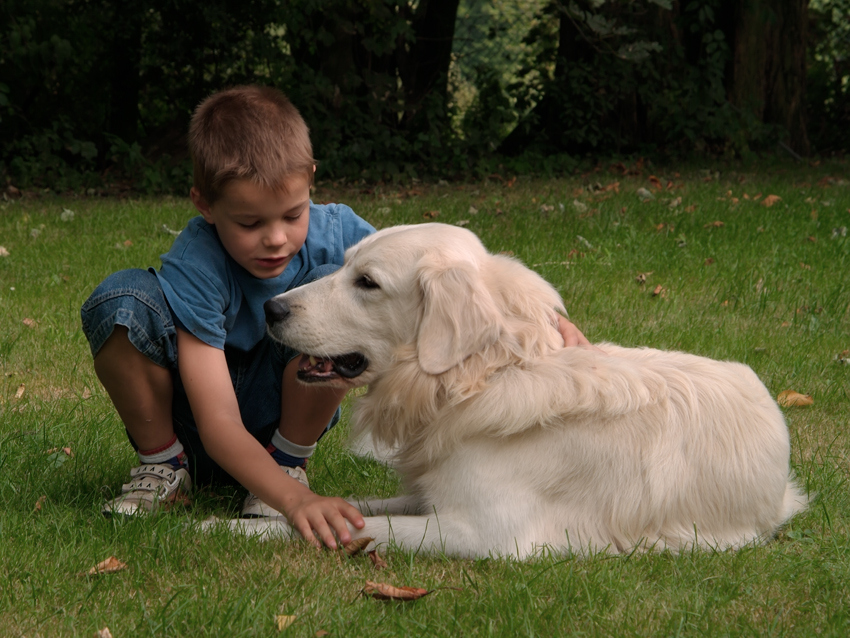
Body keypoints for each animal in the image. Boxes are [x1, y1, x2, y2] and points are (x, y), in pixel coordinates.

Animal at [242, 222, 804, 556]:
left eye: (367, 283)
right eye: (344, 265)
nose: (271, 308)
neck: (483, 378)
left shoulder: (481, 534)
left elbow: (353, 527)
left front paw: (234, 528)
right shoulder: (427, 497)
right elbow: (355, 505)